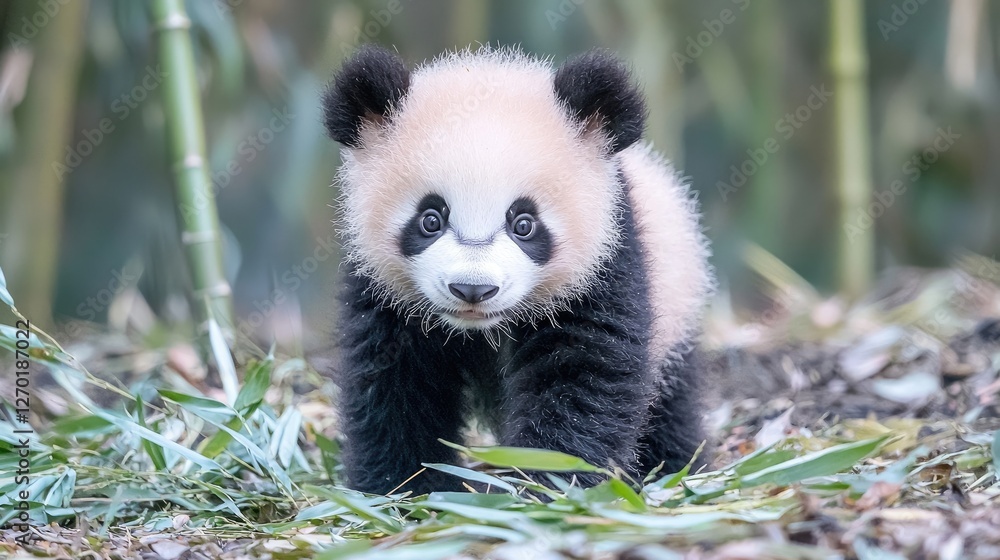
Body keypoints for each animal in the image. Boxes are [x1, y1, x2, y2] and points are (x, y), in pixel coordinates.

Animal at [322, 45, 714, 495]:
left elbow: (582, 376)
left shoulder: (606, 265)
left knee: (669, 401)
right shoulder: (384, 292)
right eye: (430, 219)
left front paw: (547, 481)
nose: (472, 289)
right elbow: (394, 381)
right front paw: (404, 485)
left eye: (524, 224)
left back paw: (672, 465)